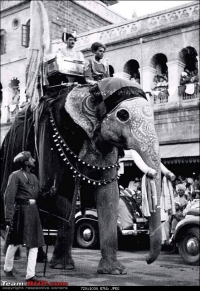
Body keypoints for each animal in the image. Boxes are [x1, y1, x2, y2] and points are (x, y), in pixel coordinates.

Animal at [0, 77, 162, 276]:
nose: (147, 260)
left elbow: (109, 193)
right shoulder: (59, 133)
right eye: (123, 115)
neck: (89, 89)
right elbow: (66, 187)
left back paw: (36, 258)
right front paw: (63, 267)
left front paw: (114, 271)